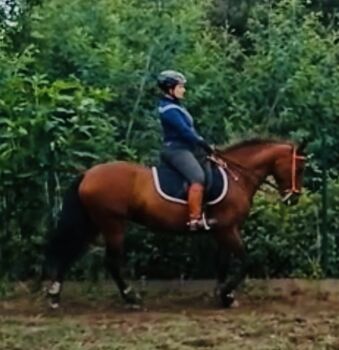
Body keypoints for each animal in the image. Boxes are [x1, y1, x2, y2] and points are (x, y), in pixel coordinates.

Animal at [43, 138, 306, 308]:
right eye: (300, 168)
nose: (294, 198)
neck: (236, 176)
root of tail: (88, 173)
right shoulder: (227, 230)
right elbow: (245, 262)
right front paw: (226, 293)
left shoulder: (222, 231)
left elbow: (223, 263)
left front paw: (223, 295)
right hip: (112, 224)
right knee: (111, 261)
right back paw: (131, 298)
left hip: (93, 224)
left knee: (70, 253)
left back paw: (55, 295)